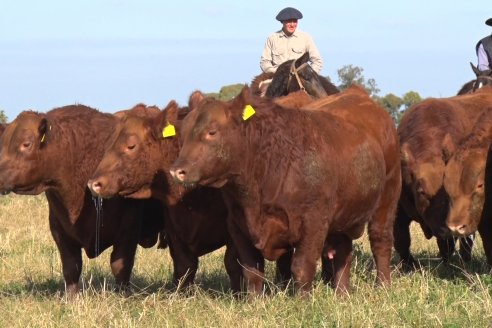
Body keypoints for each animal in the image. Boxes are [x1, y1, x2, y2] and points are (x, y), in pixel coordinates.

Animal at [0, 106, 165, 296]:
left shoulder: (129, 228)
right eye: (2, 144)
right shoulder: (59, 228)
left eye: (26, 144)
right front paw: (71, 298)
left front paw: (122, 295)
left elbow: (120, 265)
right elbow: (71, 266)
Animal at [169, 85, 400, 294]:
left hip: (387, 198)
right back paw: (342, 293)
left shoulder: (314, 222)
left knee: (380, 241)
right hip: (344, 217)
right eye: (183, 133)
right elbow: (251, 270)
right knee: (344, 253)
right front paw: (255, 303)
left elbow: (302, 267)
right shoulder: (238, 225)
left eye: (212, 132)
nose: (177, 170)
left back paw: (383, 286)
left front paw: (303, 302)